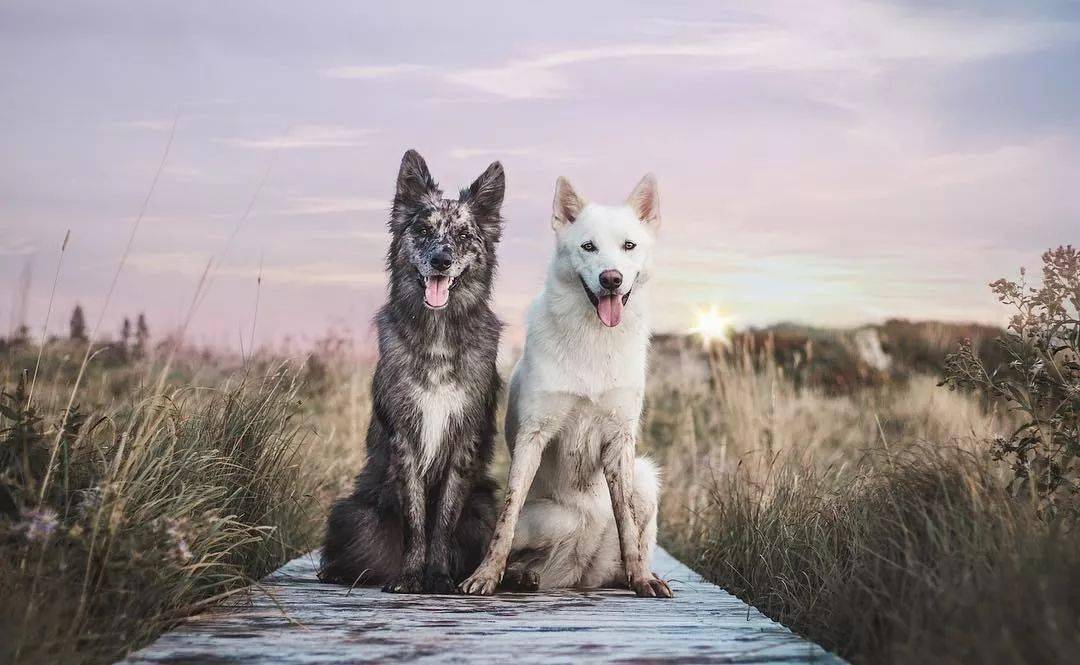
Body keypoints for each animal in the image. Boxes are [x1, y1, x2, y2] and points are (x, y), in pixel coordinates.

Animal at [319, 148, 505, 591]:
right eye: (422, 230)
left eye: (463, 235)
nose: (441, 260)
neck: (437, 336)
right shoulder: (405, 439)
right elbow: (417, 518)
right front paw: (411, 577)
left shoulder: (462, 441)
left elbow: (443, 521)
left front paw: (437, 577)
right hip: (354, 513)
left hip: (486, 507)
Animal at [457, 171, 673, 595]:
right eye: (588, 247)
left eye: (629, 246)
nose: (611, 279)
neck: (594, 338)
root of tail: (581, 568)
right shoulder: (533, 436)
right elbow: (505, 521)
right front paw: (485, 574)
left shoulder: (620, 441)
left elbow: (627, 523)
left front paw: (641, 578)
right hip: (544, 521)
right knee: (521, 547)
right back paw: (520, 574)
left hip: (644, 478)